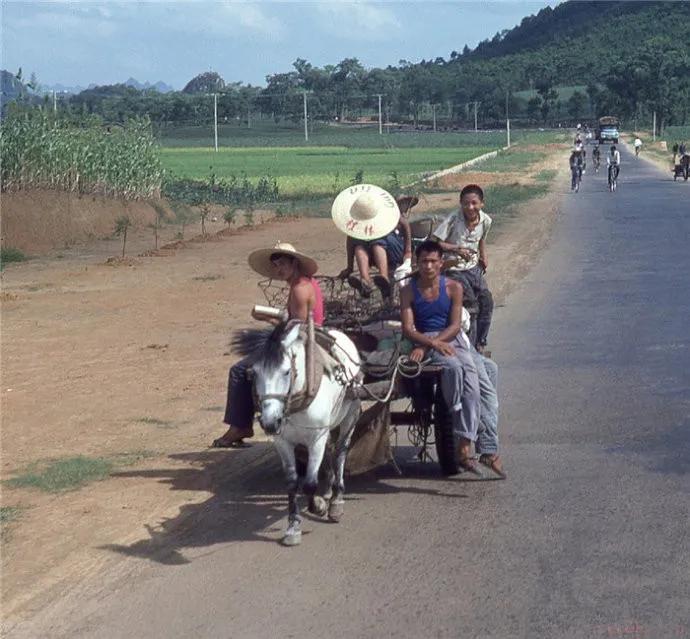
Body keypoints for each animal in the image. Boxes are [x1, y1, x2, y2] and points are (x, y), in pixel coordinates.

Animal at [231, 320, 360, 544]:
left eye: (286, 372)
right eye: (253, 374)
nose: (270, 422)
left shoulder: (316, 438)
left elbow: (309, 483)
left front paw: (318, 506)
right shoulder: (282, 442)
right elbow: (292, 483)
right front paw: (293, 526)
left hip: (349, 416)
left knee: (340, 454)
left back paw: (336, 501)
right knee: (330, 452)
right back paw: (328, 491)